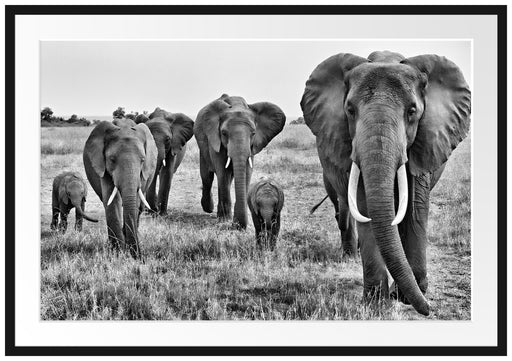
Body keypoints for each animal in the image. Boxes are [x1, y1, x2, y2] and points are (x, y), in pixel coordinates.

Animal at [83, 122, 158, 258]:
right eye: (112, 159)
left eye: (143, 160)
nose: (139, 257)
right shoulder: (104, 168)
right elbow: (112, 201)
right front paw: (117, 253)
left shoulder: (143, 172)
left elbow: (135, 201)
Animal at [194, 94, 286, 226]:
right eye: (224, 133)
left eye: (253, 133)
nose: (236, 225)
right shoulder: (215, 140)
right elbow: (223, 171)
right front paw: (225, 220)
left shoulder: (251, 147)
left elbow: (247, 172)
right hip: (202, 147)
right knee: (207, 177)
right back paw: (209, 209)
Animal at [300, 51, 472, 316]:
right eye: (350, 110)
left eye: (412, 111)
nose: (429, 310)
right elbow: (366, 208)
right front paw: (376, 304)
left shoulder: (423, 142)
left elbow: (415, 208)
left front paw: (406, 296)